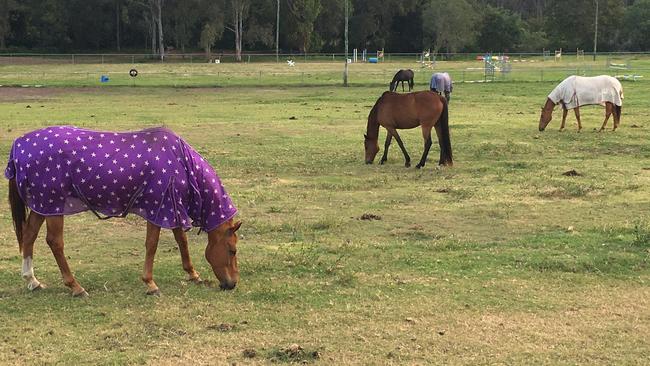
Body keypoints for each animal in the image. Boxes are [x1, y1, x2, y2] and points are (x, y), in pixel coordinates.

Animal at [6, 126, 240, 298]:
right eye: (232, 250)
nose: (231, 284)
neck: (180, 161)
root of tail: (19, 144)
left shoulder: (171, 208)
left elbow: (181, 239)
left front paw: (193, 274)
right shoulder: (158, 208)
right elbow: (152, 244)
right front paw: (150, 283)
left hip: (43, 205)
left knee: (29, 236)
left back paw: (32, 280)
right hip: (53, 206)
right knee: (55, 242)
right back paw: (75, 287)